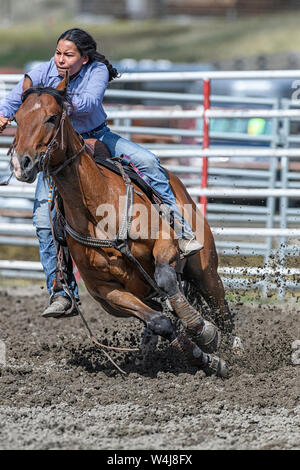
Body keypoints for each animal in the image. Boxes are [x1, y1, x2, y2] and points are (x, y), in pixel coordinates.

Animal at [9, 77, 241, 378]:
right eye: (17, 118)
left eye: (51, 117)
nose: (21, 163)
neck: (97, 209)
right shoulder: (107, 291)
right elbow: (160, 322)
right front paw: (206, 358)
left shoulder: (164, 241)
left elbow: (167, 279)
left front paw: (203, 331)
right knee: (161, 313)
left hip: (205, 269)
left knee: (221, 309)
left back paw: (235, 348)